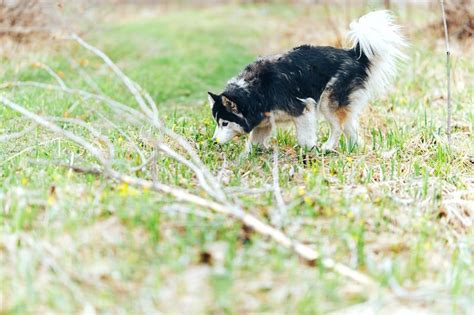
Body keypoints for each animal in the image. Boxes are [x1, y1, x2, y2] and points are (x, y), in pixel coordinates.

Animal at [208, 11, 408, 152]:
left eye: (224, 123)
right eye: (217, 122)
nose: (214, 141)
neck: (254, 92)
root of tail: (353, 54)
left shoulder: (304, 108)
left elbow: (304, 138)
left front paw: (310, 151)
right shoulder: (265, 120)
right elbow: (253, 143)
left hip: (328, 101)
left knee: (338, 127)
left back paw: (328, 147)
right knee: (349, 128)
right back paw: (355, 149)